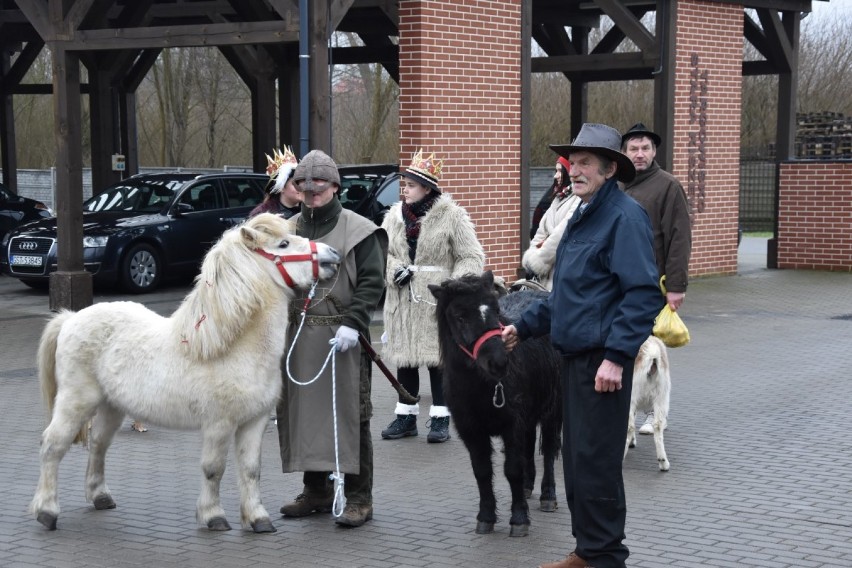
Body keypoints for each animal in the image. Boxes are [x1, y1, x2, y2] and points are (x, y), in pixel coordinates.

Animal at [30, 212, 342, 532]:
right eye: (283, 244)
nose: (333, 254)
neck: (234, 347)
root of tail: (71, 319)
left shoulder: (253, 421)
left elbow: (251, 470)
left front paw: (258, 518)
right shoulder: (219, 424)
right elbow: (213, 469)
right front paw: (213, 515)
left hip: (111, 407)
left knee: (98, 445)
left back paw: (99, 497)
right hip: (76, 402)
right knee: (52, 445)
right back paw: (46, 511)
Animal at [430, 270, 564, 536]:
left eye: (494, 308)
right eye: (460, 317)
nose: (499, 362)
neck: (480, 387)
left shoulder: (512, 425)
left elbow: (512, 469)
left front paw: (519, 519)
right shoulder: (471, 431)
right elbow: (482, 471)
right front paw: (486, 517)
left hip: (552, 410)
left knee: (549, 449)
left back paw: (547, 495)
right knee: (529, 447)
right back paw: (527, 487)